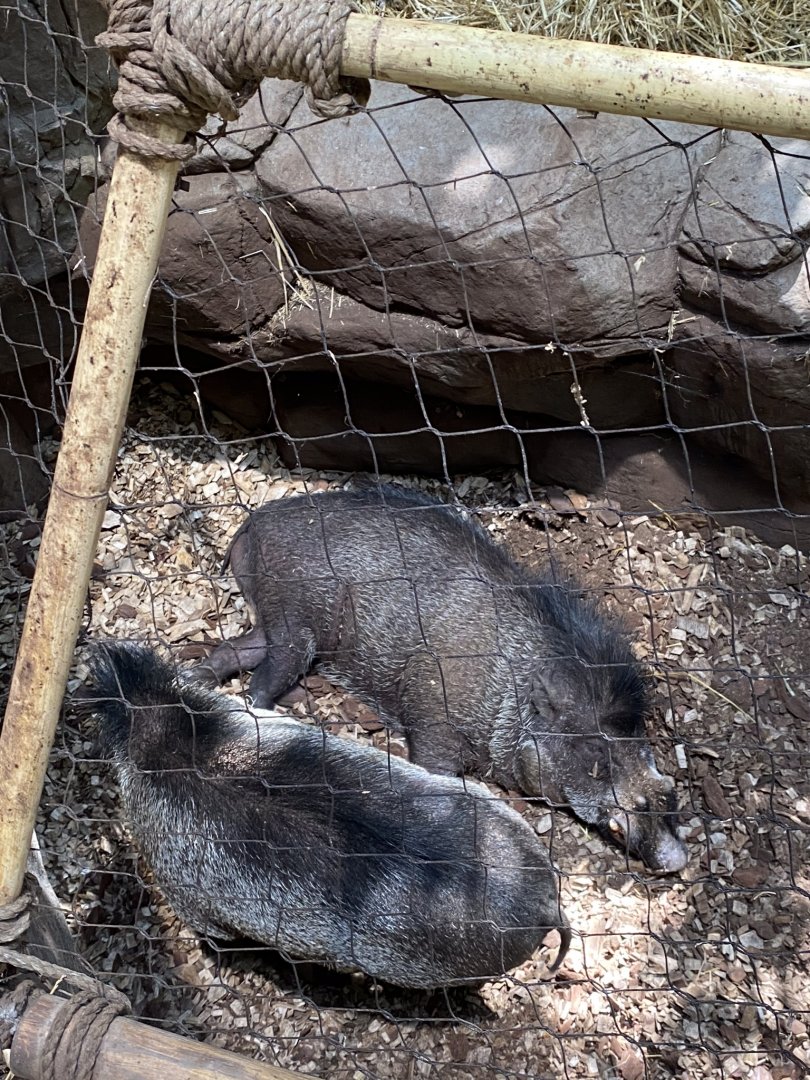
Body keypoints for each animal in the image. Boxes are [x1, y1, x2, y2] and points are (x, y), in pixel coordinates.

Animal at [203, 485, 688, 874]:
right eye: (594, 751)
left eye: (639, 739)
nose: (676, 860)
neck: (509, 687)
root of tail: (250, 526)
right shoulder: (433, 719)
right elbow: (436, 771)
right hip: (295, 622)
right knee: (260, 682)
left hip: (278, 622)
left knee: (232, 651)